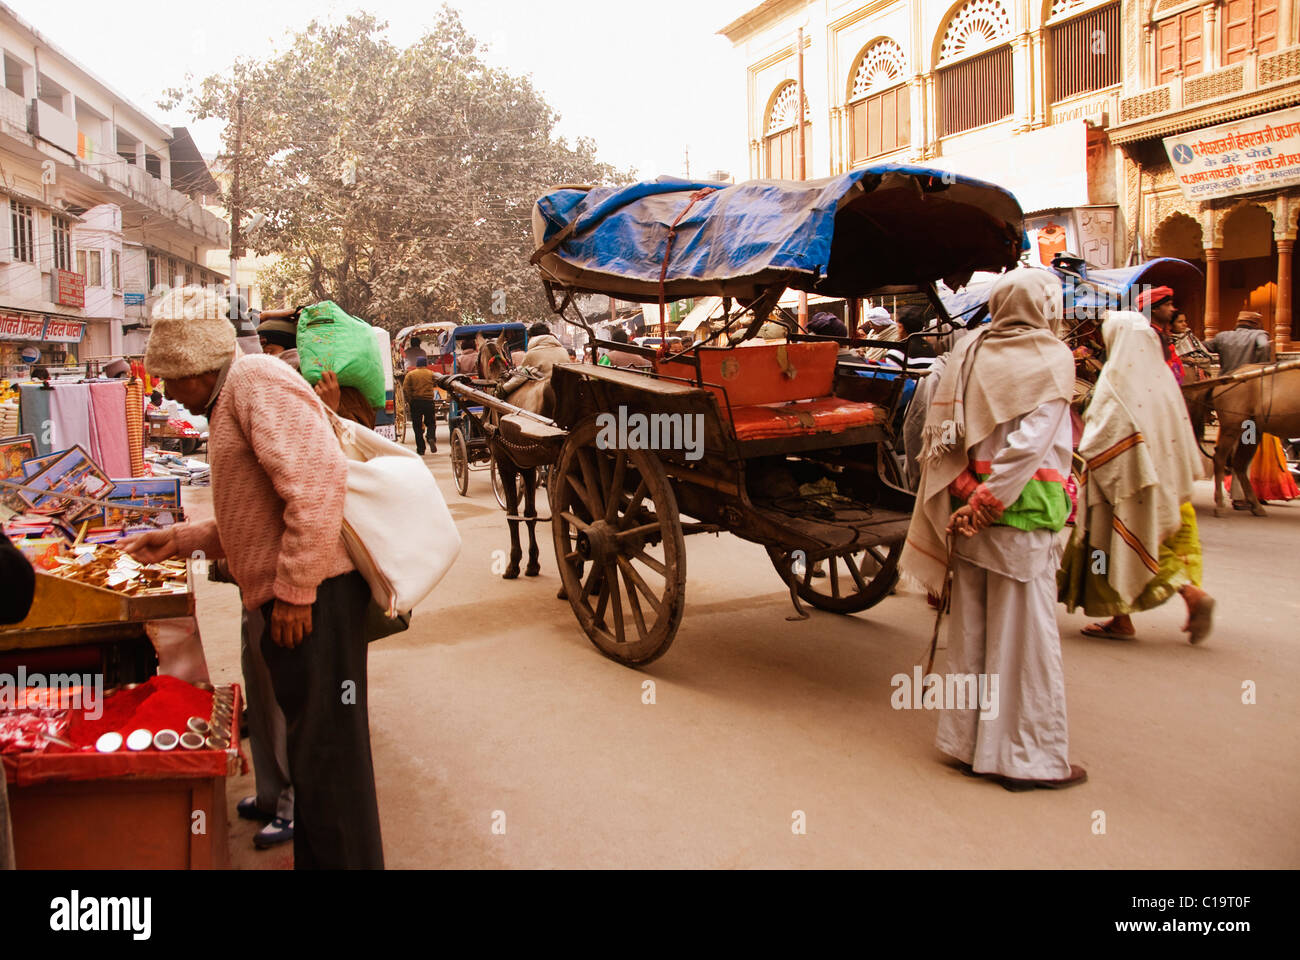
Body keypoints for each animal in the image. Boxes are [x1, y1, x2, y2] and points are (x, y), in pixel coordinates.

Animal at [1185, 361, 1300, 515]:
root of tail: (1229, 376)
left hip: (1252, 431)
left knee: (1239, 464)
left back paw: (1255, 505)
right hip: (1231, 427)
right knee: (1220, 459)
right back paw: (1220, 505)